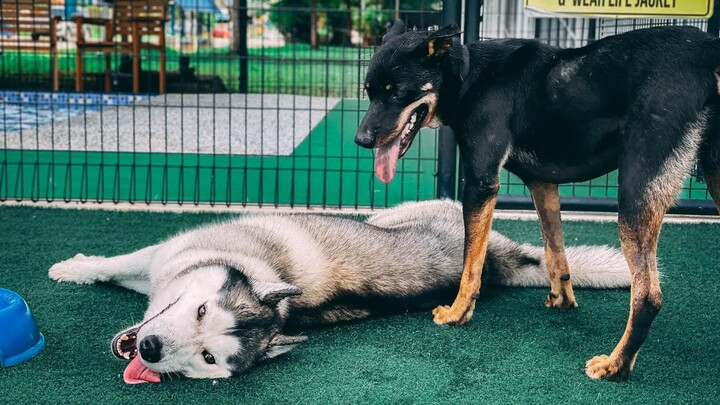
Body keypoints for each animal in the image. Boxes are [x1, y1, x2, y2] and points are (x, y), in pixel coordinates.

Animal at [49, 200, 632, 382]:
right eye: (197, 309)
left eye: (208, 355)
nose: (150, 349)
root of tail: (500, 261)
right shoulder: (164, 262)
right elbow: (118, 266)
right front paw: (74, 268)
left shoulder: (164, 261)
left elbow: (120, 266)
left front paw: (71, 268)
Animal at [358, 22, 720, 380]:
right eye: (369, 91)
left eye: (397, 92)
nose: (360, 140)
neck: (468, 76)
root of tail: (708, 51)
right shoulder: (543, 184)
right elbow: (554, 251)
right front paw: (562, 300)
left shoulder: (480, 183)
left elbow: (471, 262)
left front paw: (458, 312)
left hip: (634, 193)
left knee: (648, 296)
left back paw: (615, 365)